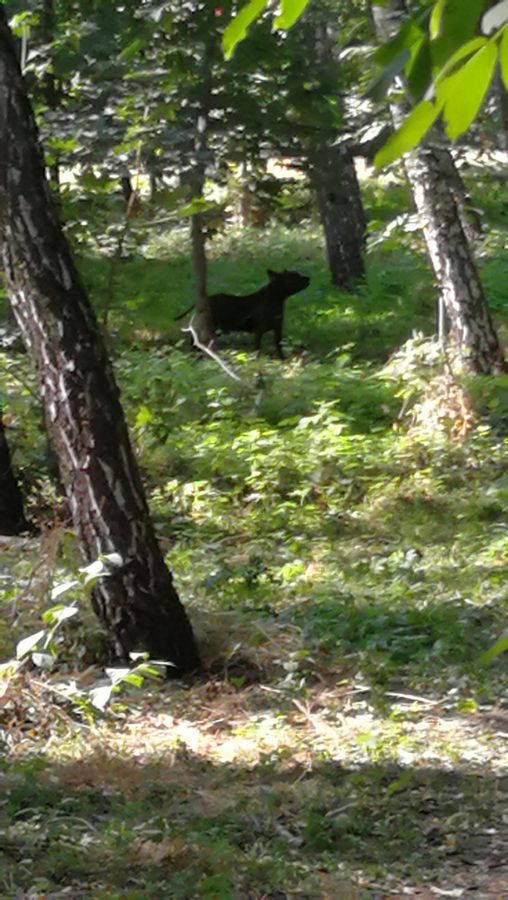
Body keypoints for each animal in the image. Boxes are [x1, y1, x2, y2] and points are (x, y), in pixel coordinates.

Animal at [175, 268, 310, 358]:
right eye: (294, 276)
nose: (308, 277)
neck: (276, 298)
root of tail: (203, 301)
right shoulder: (259, 330)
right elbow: (257, 348)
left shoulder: (278, 328)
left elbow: (279, 346)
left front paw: (282, 360)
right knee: (195, 341)